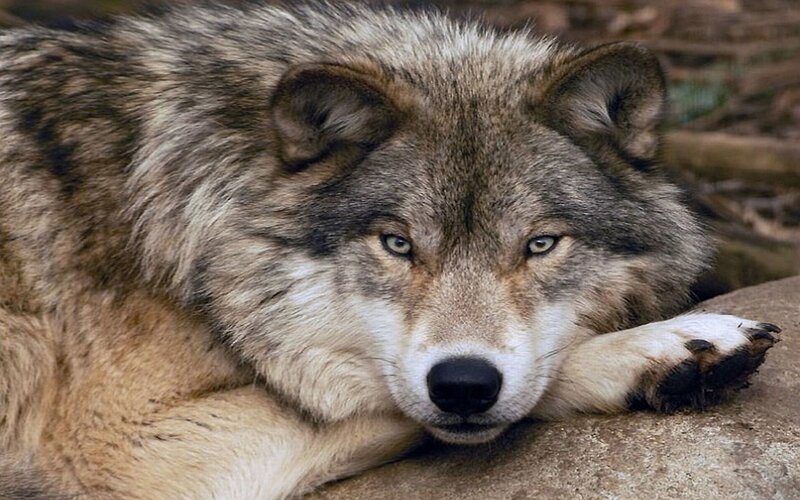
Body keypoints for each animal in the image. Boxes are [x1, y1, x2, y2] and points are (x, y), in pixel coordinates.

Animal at [0, 2, 781, 498]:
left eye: (540, 244)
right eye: (398, 244)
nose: (462, 384)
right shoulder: (124, 446)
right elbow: (397, 399)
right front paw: (659, 348)